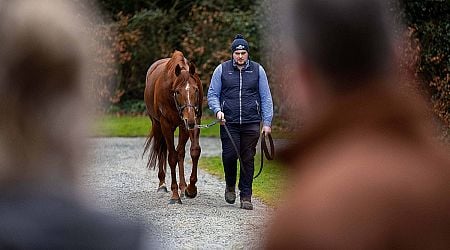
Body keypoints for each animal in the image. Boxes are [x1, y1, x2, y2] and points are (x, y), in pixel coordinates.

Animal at [143, 51, 203, 205]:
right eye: (177, 92)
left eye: (195, 90)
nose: (190, 119)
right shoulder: (166, 124)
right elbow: (171, 157)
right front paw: (175, 195)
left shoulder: (191, 122)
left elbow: (193, 151)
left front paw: (190, 189)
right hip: (157, 125)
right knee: (160, 149)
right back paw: (162, 185)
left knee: (180, 152)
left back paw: (183, 187)